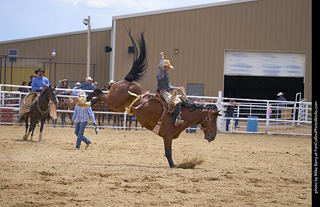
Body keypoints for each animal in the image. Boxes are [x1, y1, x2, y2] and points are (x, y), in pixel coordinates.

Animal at [87, 30, 220, 167]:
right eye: (213, 120)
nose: (213, 137)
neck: (184, 114)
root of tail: (126, 81)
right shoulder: (167, 136)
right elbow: (168, 153)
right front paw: (173, 165)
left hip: (117, 106)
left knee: (100, 96)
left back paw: (88, 104)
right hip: (114, 101)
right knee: (97, 91)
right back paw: (85, 99)